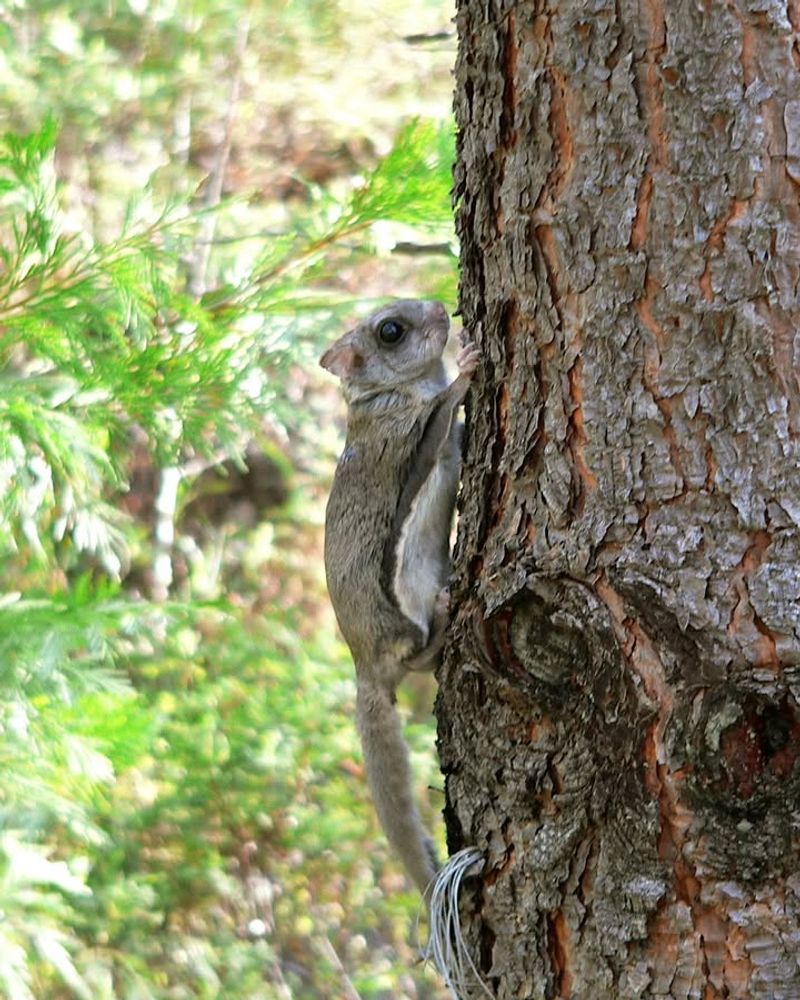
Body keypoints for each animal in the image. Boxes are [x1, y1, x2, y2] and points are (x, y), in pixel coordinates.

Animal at [320, 299, 479, 896]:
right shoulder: (408, 436)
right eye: (391, 331)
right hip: (404, 611)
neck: (381, 396)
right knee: (420, 654)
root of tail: (365, 666)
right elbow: (443, 418)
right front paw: (467, 368)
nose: (441, 307)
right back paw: (442, 616)